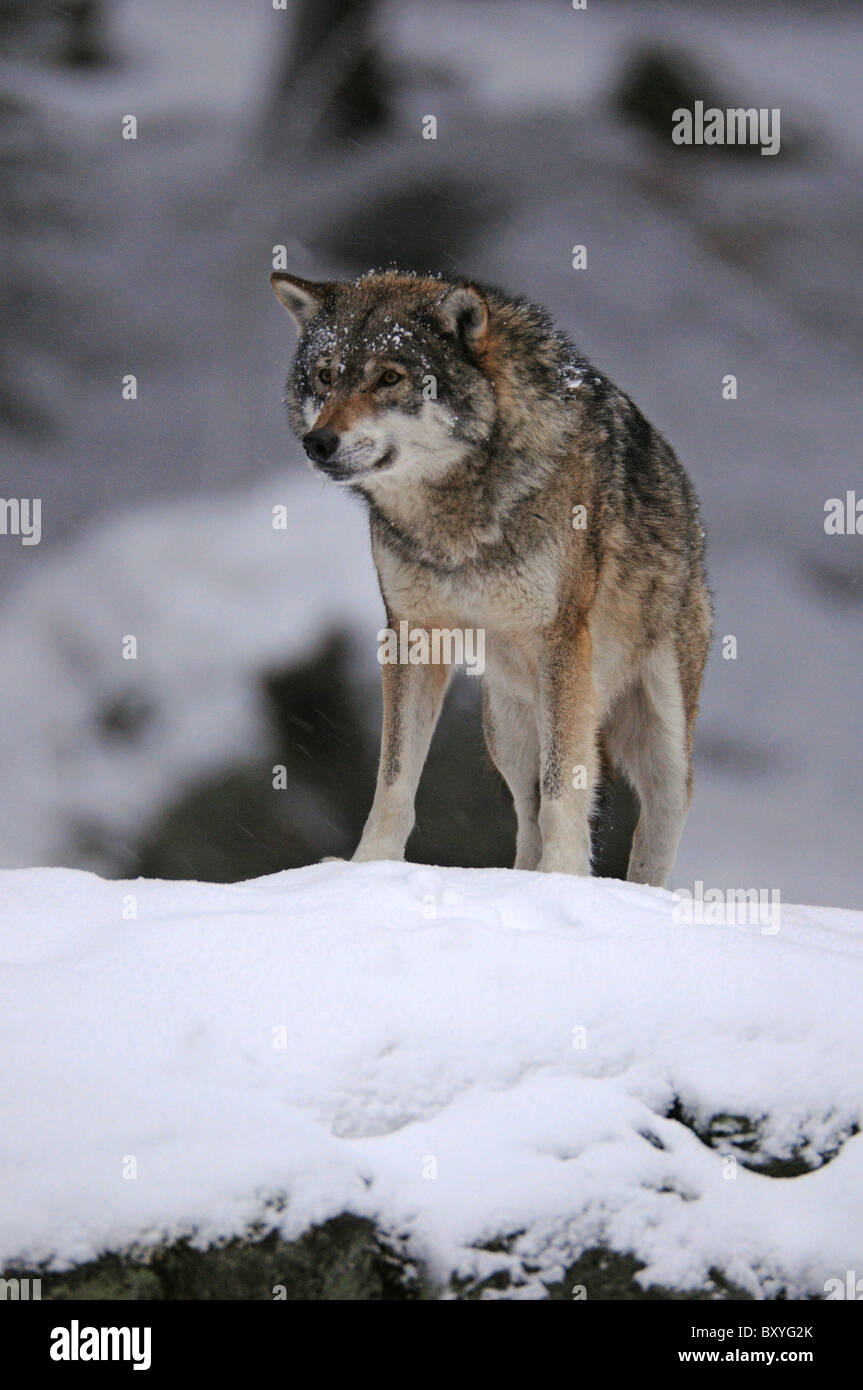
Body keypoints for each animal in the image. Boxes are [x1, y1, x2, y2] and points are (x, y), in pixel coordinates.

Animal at [272, 265, 711, 884]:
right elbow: (394, 780)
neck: (456, 517)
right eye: (326, 376)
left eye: (389, 378)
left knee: (653, 831)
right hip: (508, 731)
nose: (318, 442)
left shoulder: (561, 640)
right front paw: (368, 867)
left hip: (662, 747)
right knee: (526, 814)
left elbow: (565, 795)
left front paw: (565, 879)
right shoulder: (413, 635)